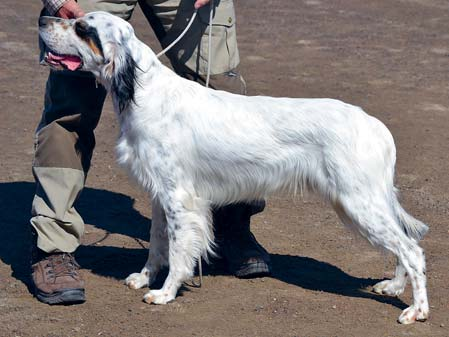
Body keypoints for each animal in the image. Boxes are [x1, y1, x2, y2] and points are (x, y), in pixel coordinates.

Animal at [38, 12, 428, 322]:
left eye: (82, 27)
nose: (43, 20)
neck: (146, 92)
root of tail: (377, 127)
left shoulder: (180, 198)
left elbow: (178, 251)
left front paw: (165, 293)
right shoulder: (160, 196)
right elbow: (157, 243)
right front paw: (144, 277)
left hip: (358, 202)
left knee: (412, 250)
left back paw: (416, 311)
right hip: (366, 203)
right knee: (404, 244)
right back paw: (393, 287)